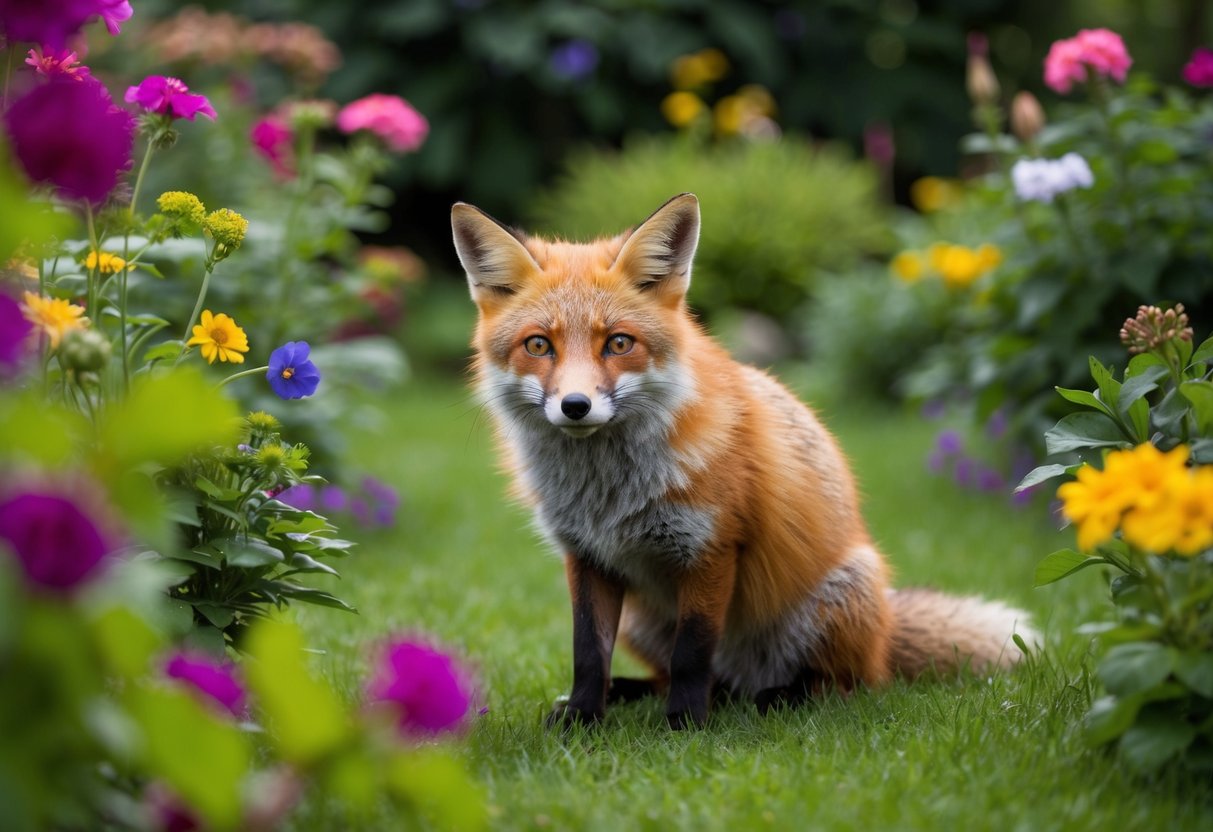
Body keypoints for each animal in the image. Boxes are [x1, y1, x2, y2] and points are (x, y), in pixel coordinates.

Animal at [451, 193, 1037, 729]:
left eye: (618, 343)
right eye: (539, 345)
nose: (575, 406)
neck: (609, 494)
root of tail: (888, 630)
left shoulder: (712, 548)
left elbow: (692, 654)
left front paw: (685, 726)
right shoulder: (587, 557)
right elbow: (588, 654)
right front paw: (581, 719)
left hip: (840, 602)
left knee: (845, 685)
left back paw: (778, 697)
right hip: (644, 618)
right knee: (697, 677)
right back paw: (634, 693)